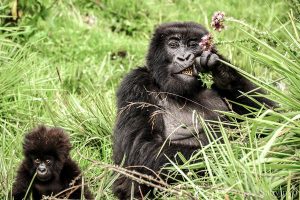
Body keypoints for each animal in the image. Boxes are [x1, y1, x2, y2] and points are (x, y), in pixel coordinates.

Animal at [112, 21, 274, 198]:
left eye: (192, 44)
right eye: (173, 45)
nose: (184, 57)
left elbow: (270, 115)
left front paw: (223, 71)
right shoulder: (135, 84)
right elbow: (140, 150)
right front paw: (236, 154)